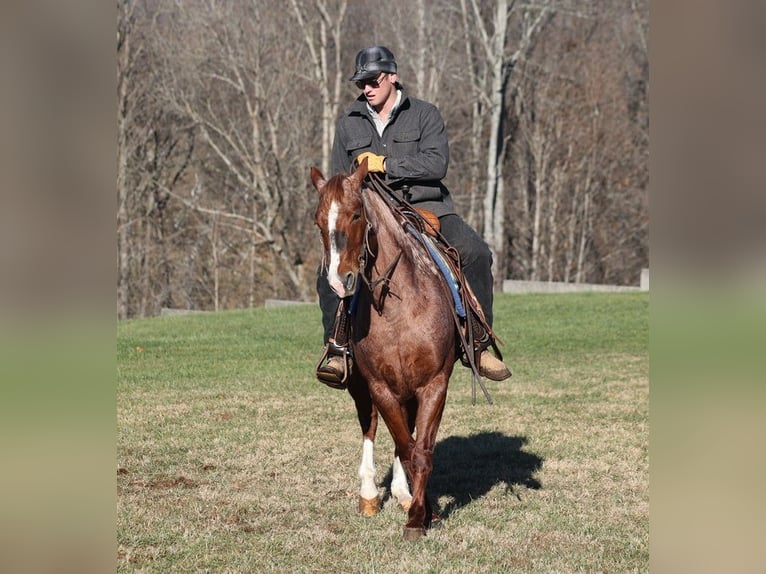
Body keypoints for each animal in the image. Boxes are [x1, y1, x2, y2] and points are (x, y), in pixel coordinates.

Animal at [310, 160, 460, 544]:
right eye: (318, 221)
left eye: (357, 214)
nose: (339, 281)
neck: (398, 307)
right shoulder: (379, 386)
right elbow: (406, 447)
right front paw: (422, 513)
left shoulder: (434, 384)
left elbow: (420, 450)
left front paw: (418, 512)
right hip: (363, 386)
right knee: (371, 425)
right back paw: (370, 494)